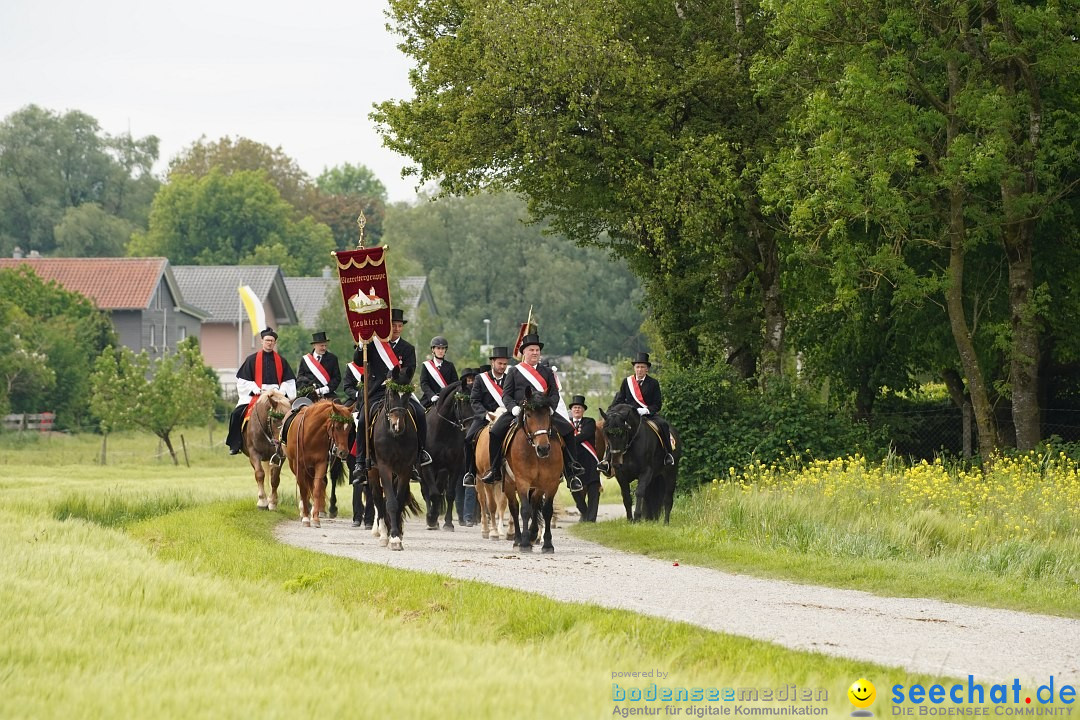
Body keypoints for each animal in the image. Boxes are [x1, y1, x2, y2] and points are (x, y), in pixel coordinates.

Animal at [285, 399, 352, 528]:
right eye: (337, 426)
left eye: (349, 428)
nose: (343, 452)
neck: (310, 435)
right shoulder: (298, 466)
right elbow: (303, 490)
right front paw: (306, 518)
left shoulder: (320, 464)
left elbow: (317, 489)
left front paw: (315, 518)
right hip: (294, 466)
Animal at [371, 382, 421, 552]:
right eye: (390, 394)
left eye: (407, 395)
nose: (397, 426)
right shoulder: (384, 466)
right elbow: (391, 503)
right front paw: (393, 537)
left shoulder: (405, 469)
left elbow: (398, 501)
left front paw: (397, 533)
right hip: (372, 472)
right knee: (378, 499)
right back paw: (383, 534)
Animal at [421, 382, 473, 528]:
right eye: (461, 401)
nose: (471, 426)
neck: (443, 430)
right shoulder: (427, 466)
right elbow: (433, 493)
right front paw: (431, 518)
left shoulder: (453, 467)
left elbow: (449, 494)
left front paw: (448, 523)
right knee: (426, 492)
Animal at [498, 395, 561, 552]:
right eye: (528, 415)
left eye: (547, 414)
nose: (543, 448)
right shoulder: (522, 482)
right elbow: (525, 510)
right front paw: (525, 543)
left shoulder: (551, 483)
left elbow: (547, 510)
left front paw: (547, 544)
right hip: (509, 485)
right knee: (514, 508)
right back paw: (517, 540)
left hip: (538, 487)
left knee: (535, 503)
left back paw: (533, 534)